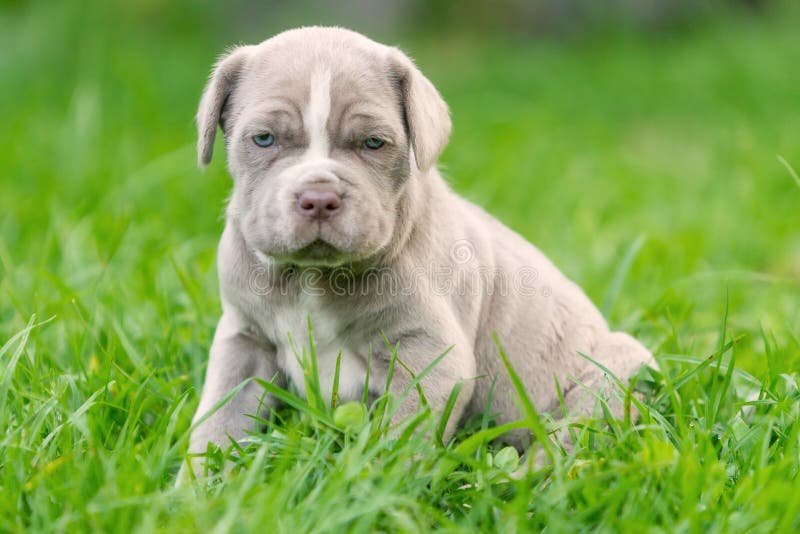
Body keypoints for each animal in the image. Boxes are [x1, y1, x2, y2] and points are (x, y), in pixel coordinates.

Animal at [181, 26, 656, 482]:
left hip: (615, 374)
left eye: (373, 143)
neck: (312, 276)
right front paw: (196, 490)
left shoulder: (430, 357)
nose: (318, 198)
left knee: (568, 440)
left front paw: (374, 489)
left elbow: (401, 436)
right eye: (263, 139)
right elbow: (218, 421)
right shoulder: (243, 342)